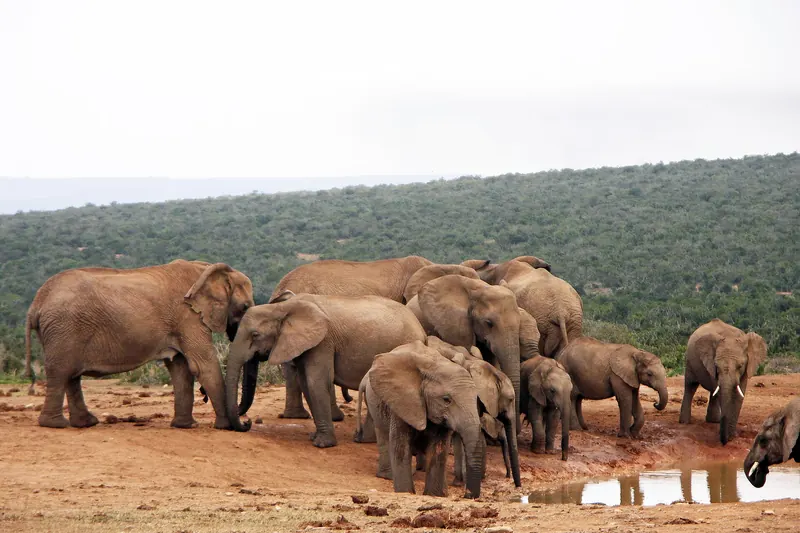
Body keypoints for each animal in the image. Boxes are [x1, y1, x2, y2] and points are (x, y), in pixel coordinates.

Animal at [24, 260, 254, 430]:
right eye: (245, 307)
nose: (247, 422)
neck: (204, 270)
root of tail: (36, 303)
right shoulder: (188, 316)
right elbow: (203, 364)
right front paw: (225, 427)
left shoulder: (180, 322)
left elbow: (180, 368)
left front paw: (184, 426)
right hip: (64, 328)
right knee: (61, 372)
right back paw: (55, 424)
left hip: (63, 330)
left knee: (71, 375)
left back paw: (85, 423)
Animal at [225, 293, 426, 447]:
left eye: (255, 335)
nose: (247, 422)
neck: (282, 308)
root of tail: (421, 330)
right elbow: (306, 383)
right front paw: (314, 438)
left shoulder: (323, 342)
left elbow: (316, 382)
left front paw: (322, 445)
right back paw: (365, 440)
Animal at [363, 341, 485, 498]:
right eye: (446, 399)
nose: (467, 495)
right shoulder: (403, 402)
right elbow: (401, 448)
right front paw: (406, 493)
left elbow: (438, 450)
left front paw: (434, 495)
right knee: (383, 436)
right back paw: (388, 476)